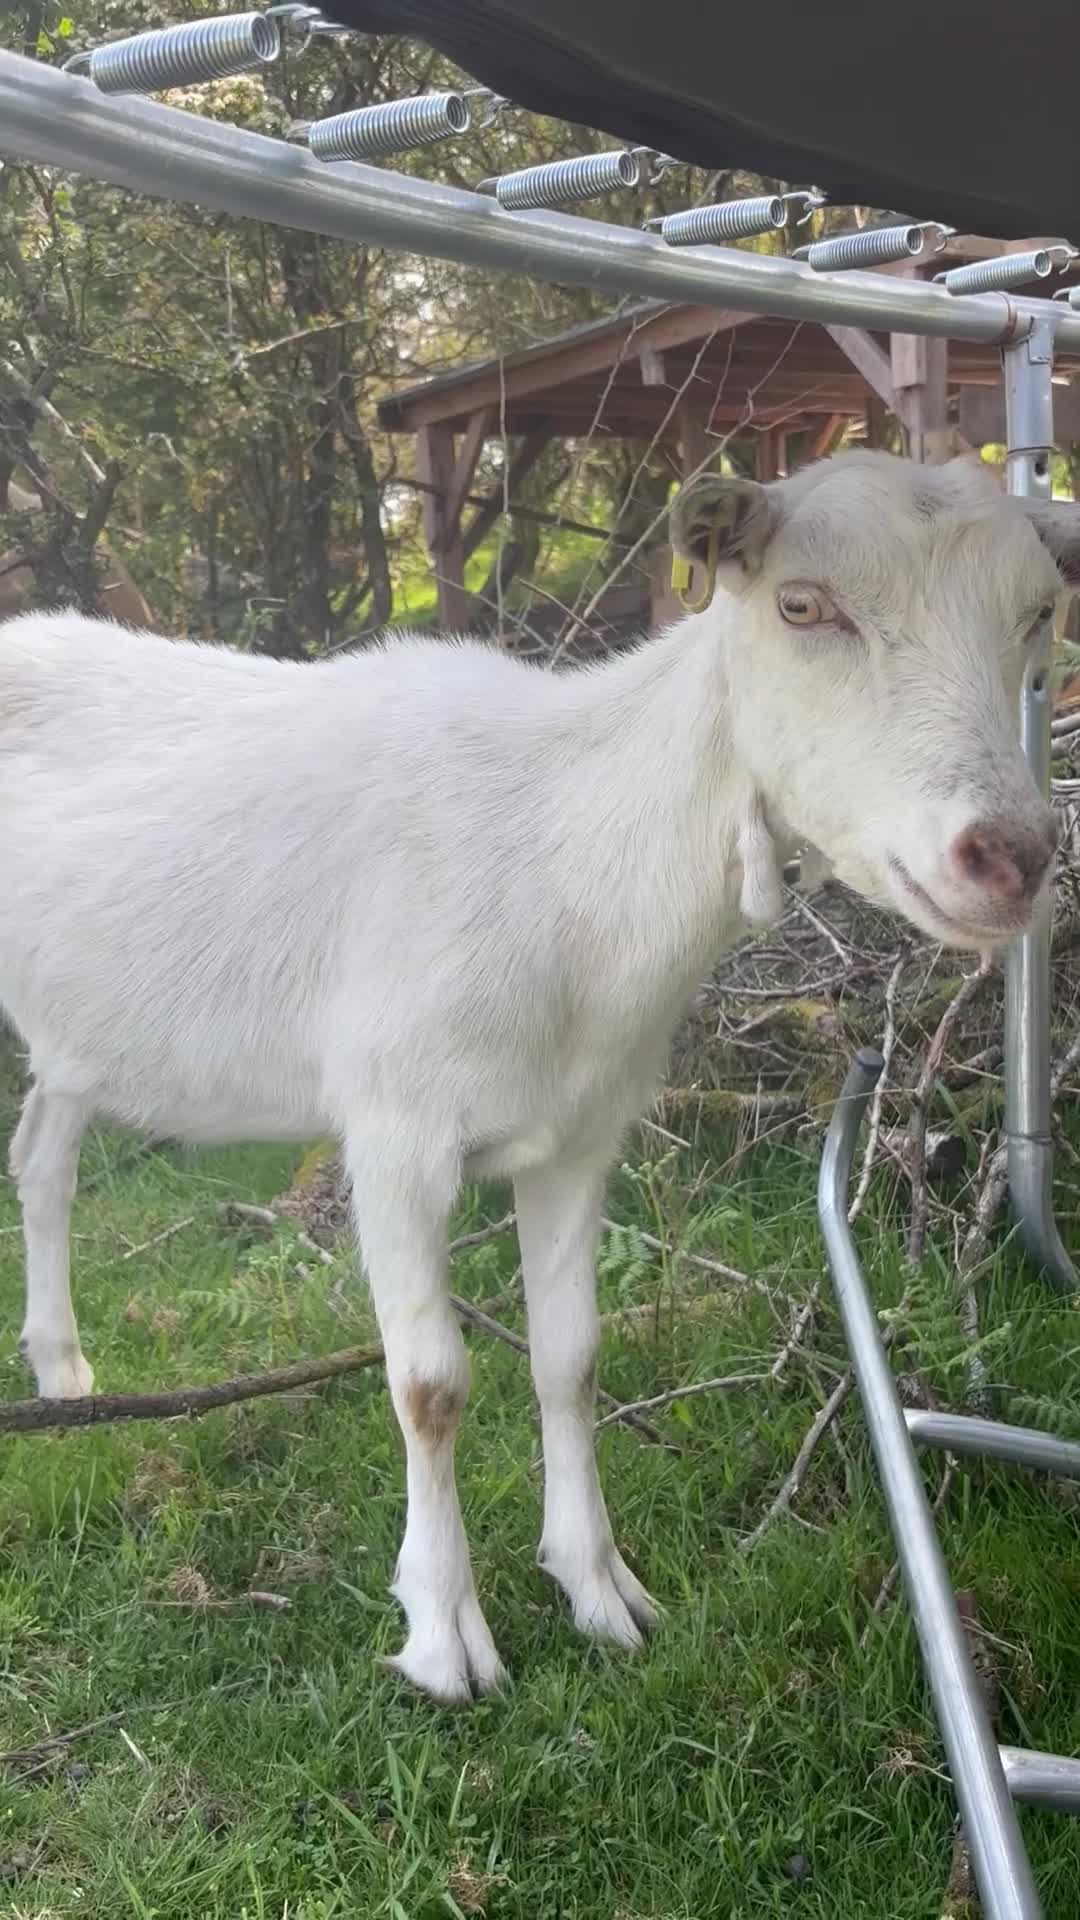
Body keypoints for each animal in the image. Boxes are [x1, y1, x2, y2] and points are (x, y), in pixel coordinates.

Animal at [2, 451, 1076, 1703]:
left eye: (1035, 615)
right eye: (802, 606)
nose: (1010, 857)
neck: (568, 857)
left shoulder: (579, 1132)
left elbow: (571, 1359)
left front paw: (599, 1588)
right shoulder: (395, 1128)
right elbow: (429, 1387)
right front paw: (444, 1639)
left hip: (79, 1031)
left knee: (43, 1156)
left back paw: (65, 1375)